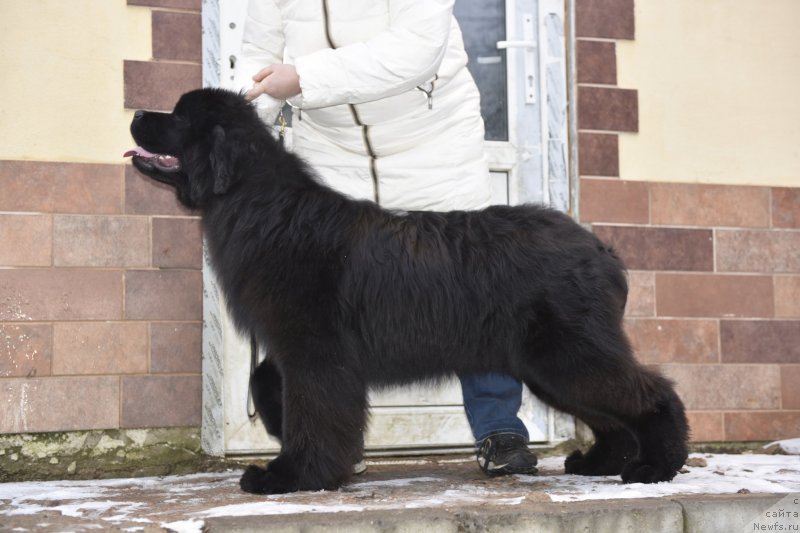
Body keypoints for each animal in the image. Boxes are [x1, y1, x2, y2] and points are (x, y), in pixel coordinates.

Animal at [130, 88, 688, 494]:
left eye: (178, 117)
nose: (135, 111)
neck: (261, 205)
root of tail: (601, 248)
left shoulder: (315, 350)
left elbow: (312, 408)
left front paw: (292, 476)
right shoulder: (297, 349)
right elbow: (268, 383)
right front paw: (300, 448)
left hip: (566, 354)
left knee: (653, 393)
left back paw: (657, 466)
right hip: (549, 365)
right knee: (610, 412)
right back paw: (600, 462)